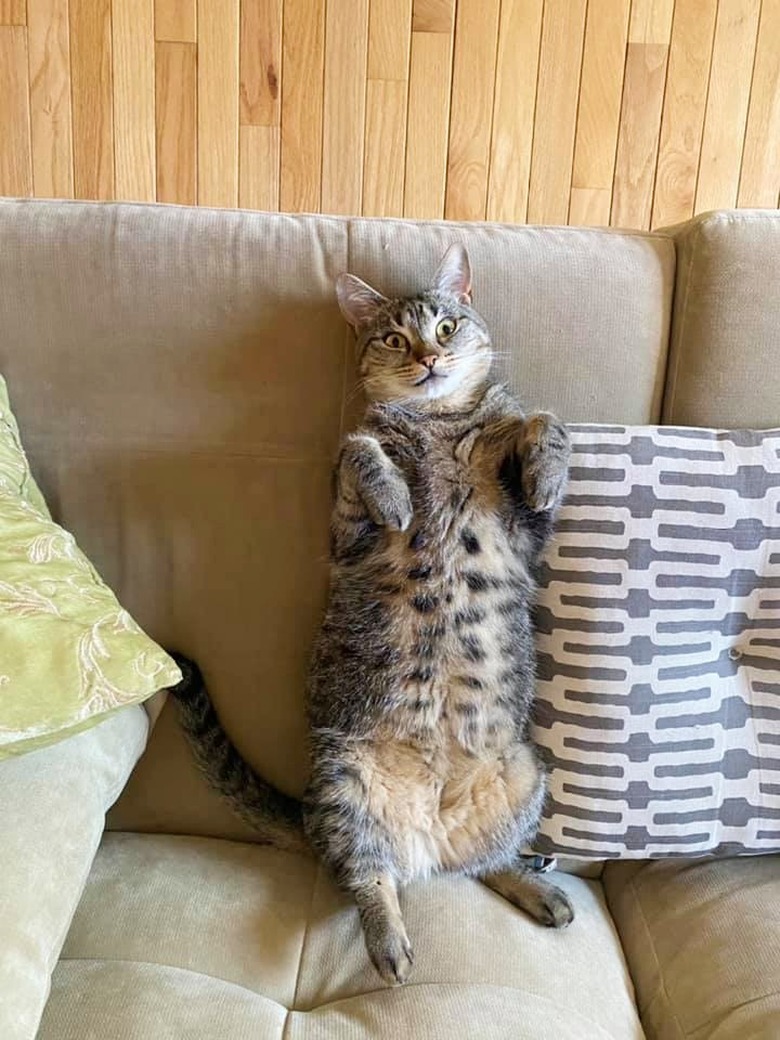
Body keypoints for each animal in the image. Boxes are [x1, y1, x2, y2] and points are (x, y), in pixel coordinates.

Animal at [170, 243, 574, 981]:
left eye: (447, 326)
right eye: (392, 337)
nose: (429, 358)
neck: (440, 425)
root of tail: (430, 837)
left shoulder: (526, 533)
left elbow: (543, 420)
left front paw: (546, 469)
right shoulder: (344, 532)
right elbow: (357, 447)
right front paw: (394, 497)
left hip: (526, 774)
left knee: (483, 863)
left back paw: (534, 888)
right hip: (343, 782)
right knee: (367, 876)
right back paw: (390, 943)